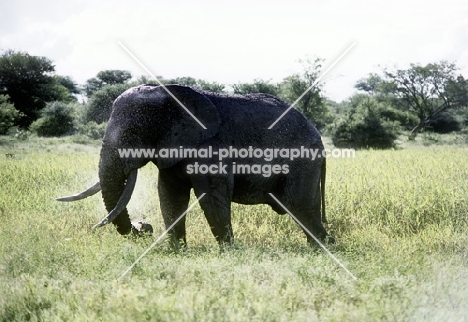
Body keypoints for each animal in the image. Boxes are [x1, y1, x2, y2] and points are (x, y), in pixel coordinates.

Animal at [58, 85, 334, 247]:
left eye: (133, 134)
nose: (144, 226)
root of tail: (318, 135)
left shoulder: (211, 147)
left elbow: (210, 196)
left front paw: (228, 252)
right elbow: (170, 195)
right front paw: (177, 252)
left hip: (303, 159)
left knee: (299, 205)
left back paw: (322, 249)